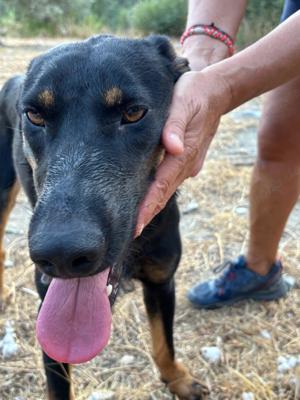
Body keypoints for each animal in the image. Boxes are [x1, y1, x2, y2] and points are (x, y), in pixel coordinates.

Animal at [0, 36, 209, 398]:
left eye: (133, 112)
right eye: (34, 116)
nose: (62, 254)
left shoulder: (162, 280)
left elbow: (164, 342)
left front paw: (177, 379)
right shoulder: (46, 299)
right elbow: (58, 385)